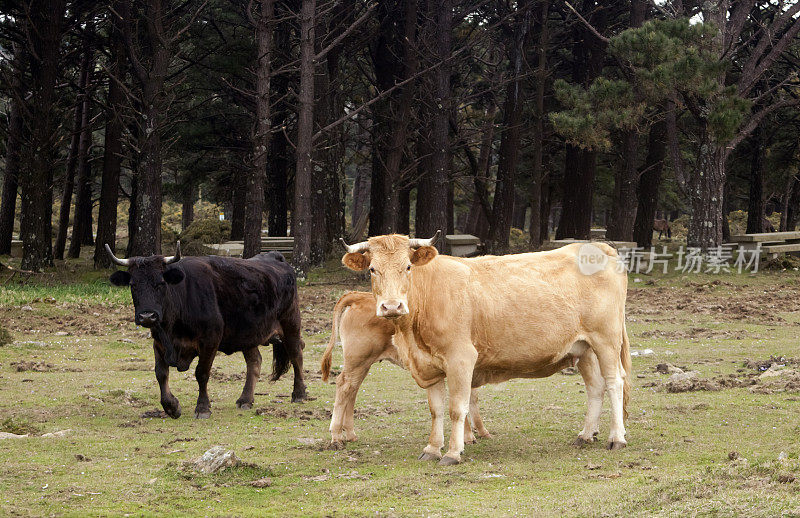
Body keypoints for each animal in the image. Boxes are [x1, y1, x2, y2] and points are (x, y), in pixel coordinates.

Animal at [106, 246, 306, 420]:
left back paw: (299, 393)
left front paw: (202, 408)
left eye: (161, 283)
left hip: (290, 323)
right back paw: (245, 399)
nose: (147, 316)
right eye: (133, 285)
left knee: (296, 355)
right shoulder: (159, 343)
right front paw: (172, 407)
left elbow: (201, 373)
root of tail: (275, 257)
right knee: (255, 361)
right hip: (247, 335)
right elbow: (160, 374)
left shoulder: (210, 340)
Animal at [318, 292, 488, 450]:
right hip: (358, 360)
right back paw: (336, 436)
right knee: (344, 386)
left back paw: (350, 434)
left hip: (362, 364)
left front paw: (479, 431)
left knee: (352, 390)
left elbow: (472, 398)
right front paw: (468, 436)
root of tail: (360, 296)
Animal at [340, 234, 628, 466]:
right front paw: (432, 448)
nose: (392, 306)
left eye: (407, 267)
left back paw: (617, 438)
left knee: (614, 383)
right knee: (595, 388)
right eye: (372, 269)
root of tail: (598, 247)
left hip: (606, 339)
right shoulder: (428, 366)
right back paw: (586, 435)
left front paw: (453, 452)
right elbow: (436, 410)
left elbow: (457, 408)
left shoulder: (461, 358)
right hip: (584, 348)